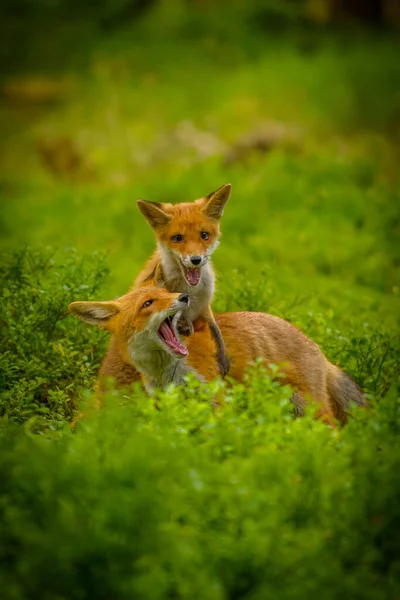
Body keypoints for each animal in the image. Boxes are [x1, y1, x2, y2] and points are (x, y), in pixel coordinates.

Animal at [70, 288, 368, 424]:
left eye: (166, 293)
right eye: (147, 303)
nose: (184, 295)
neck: (167, 375)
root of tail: (319, 350)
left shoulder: (217, 402)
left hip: (308, 407)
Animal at [134, 182, 231, 376]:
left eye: (204, 235)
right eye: (178, 238)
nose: (196, 259)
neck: (191, 290)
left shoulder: (205, 306)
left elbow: (216, 331)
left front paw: (223, 359)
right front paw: (183, 323)